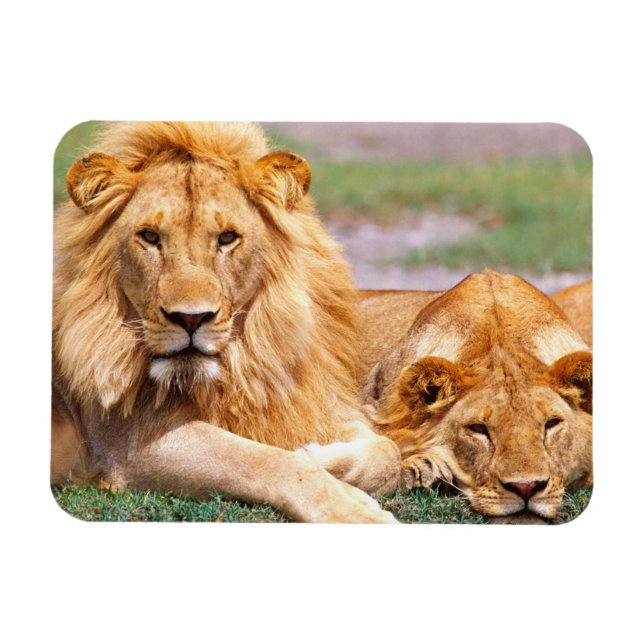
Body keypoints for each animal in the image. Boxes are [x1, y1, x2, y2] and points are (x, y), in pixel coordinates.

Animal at [52, 121, 401, 523]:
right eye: (150, 237)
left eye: (227, 238)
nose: (190, 318)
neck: (237, 367)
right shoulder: (128, 445)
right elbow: (267, 461)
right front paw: (353, 510)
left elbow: (388, 451)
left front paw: (320, 456)